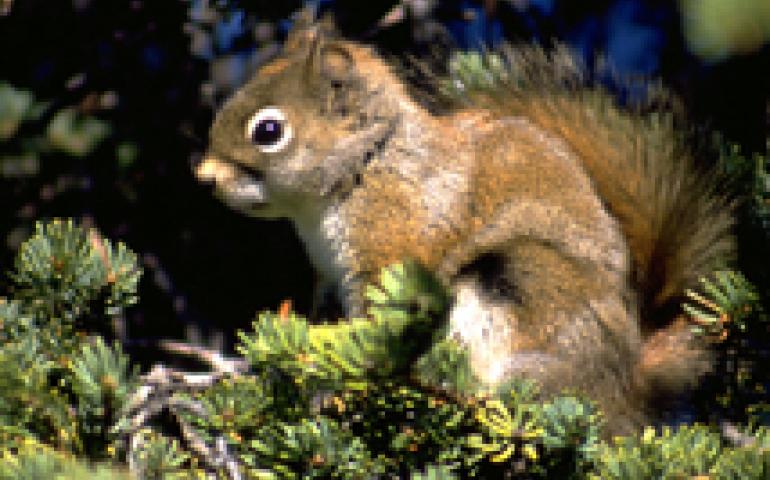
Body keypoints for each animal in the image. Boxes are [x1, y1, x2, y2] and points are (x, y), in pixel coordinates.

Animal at [195, 16, 735, 436]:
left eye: (269, 130)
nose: (204, 178)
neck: (368, 163)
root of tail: (630, 382)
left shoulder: (392, 239)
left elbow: (377, 321)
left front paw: (339, 386)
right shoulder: (331, 272)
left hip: (524, 281)